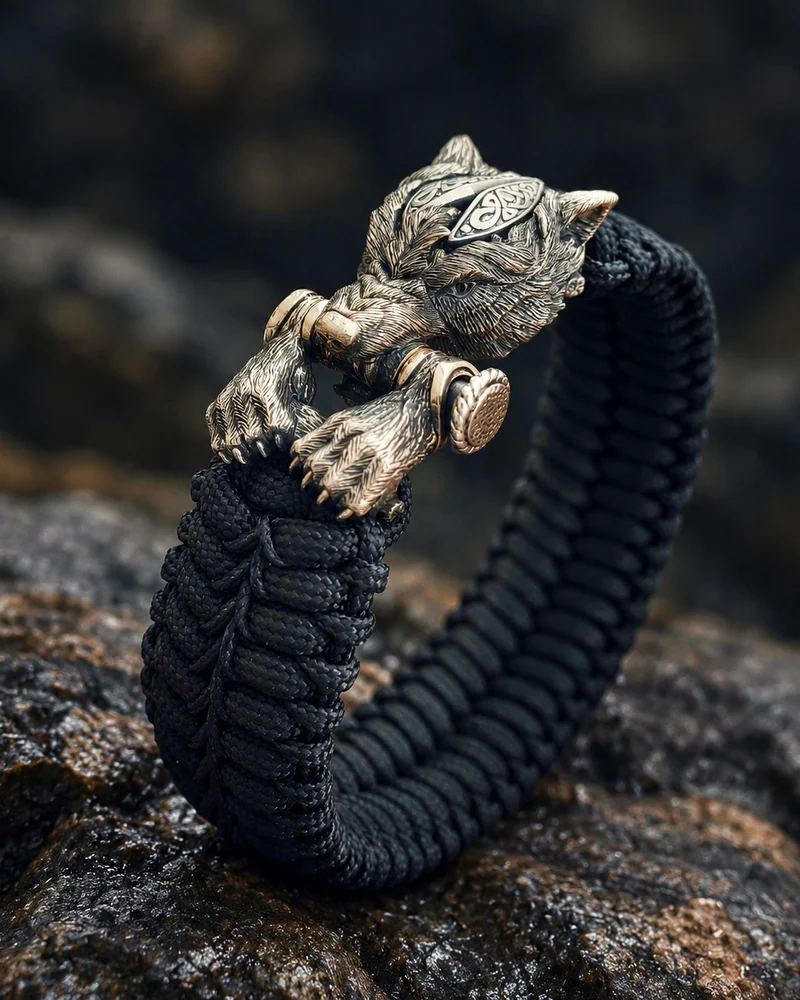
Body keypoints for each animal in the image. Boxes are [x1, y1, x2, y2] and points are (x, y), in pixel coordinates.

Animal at [206, 135, 617, 517]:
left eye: (462, 287)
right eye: (377, 251)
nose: (337, 332)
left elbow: (436, 381)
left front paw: (356, 450)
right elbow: (296, 319)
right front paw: (251, 400)